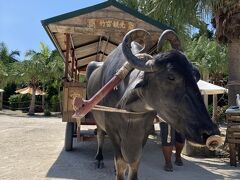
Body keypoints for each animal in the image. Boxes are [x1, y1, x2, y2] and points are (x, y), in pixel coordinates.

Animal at [85, 28, 220, 179]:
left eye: (196, 75)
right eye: (171, 76)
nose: (210, 133)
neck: (131, 113)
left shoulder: (143, 132)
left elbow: (134, 163)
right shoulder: (112, 130)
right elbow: (120, 163)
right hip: (98, 120)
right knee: (100, 135)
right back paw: (99, 158)